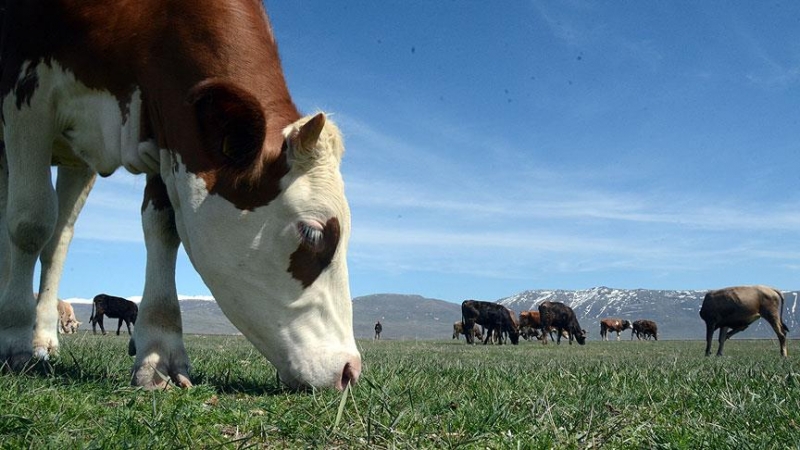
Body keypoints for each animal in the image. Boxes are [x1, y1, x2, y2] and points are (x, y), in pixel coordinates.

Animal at [0, 0, 360, 390]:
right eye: (313, 233)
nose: (350, 370)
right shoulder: (25, 92)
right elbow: (30, 223)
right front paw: (15, 341)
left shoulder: (169, 128)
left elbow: (163, 229)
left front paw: (159, 351)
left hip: (75, 159)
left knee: (57, 240)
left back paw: (43, 339)